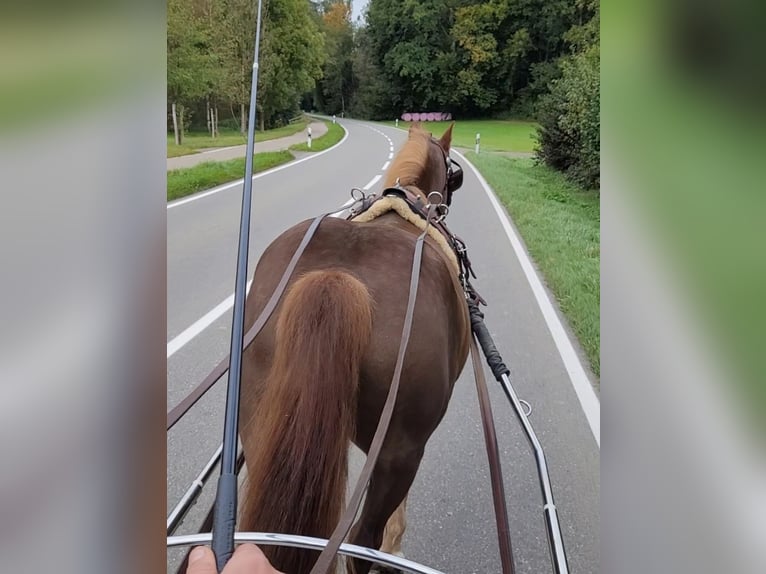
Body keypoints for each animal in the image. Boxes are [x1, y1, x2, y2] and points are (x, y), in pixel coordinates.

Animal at [240, 124, 472, 572]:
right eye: (453, 175)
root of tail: (337, 279)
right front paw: (397, 545)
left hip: (260, 420)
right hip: (400, 451)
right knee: (362, 539)